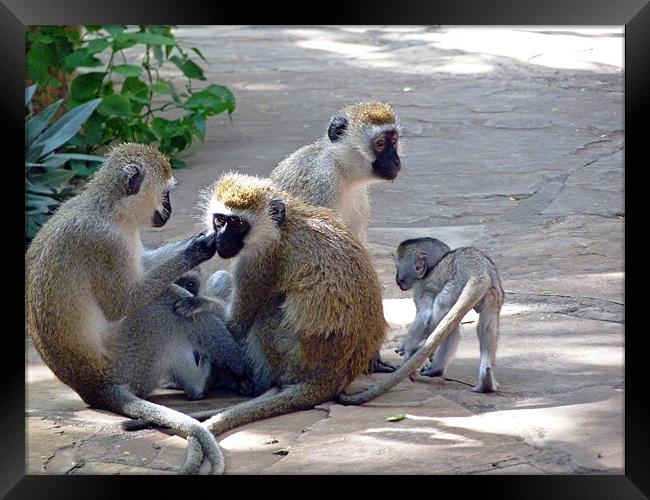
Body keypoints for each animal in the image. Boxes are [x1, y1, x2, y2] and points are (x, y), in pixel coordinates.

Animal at [125, 173, 384, 472]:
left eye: (238, 224)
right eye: (220, 220)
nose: (221, 239)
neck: (283, 226)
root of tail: (331, 376)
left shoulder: (258, 263)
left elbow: (235, 325)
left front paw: (198, 302)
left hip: (289, 361)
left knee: (267, 308)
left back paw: (247, 382)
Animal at [268, 101, 400, 374]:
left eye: (394, 140)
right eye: (380, 143)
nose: (395, 160)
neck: (343, 169)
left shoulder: (360, 199)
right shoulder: (322, 184)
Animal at [336, 238, 504, 406]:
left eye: (399, 267)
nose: (397, 279)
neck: (433, 266)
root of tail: (479, 273)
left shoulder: (421, 286)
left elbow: (425, 316)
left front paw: (408, 349)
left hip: (456, 284)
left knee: (442, 311)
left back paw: (433, 366)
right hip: (493, 291)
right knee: (486, 327)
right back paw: (486, 380)